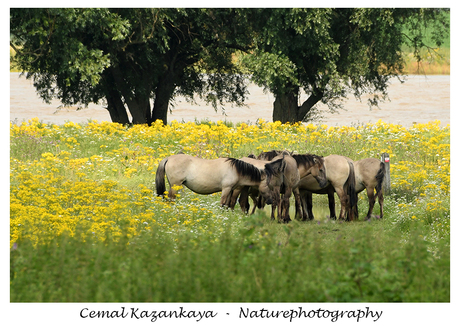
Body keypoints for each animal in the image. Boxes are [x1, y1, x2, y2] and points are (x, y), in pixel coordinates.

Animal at [155, 154, 284, 208]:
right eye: (269, 186)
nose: (271, 201)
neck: (236, 170)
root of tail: (168, 158)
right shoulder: (226, 189)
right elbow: (222, 204)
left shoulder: (231, 190)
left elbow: (227, 204)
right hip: (175, 185)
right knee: (171, 199)